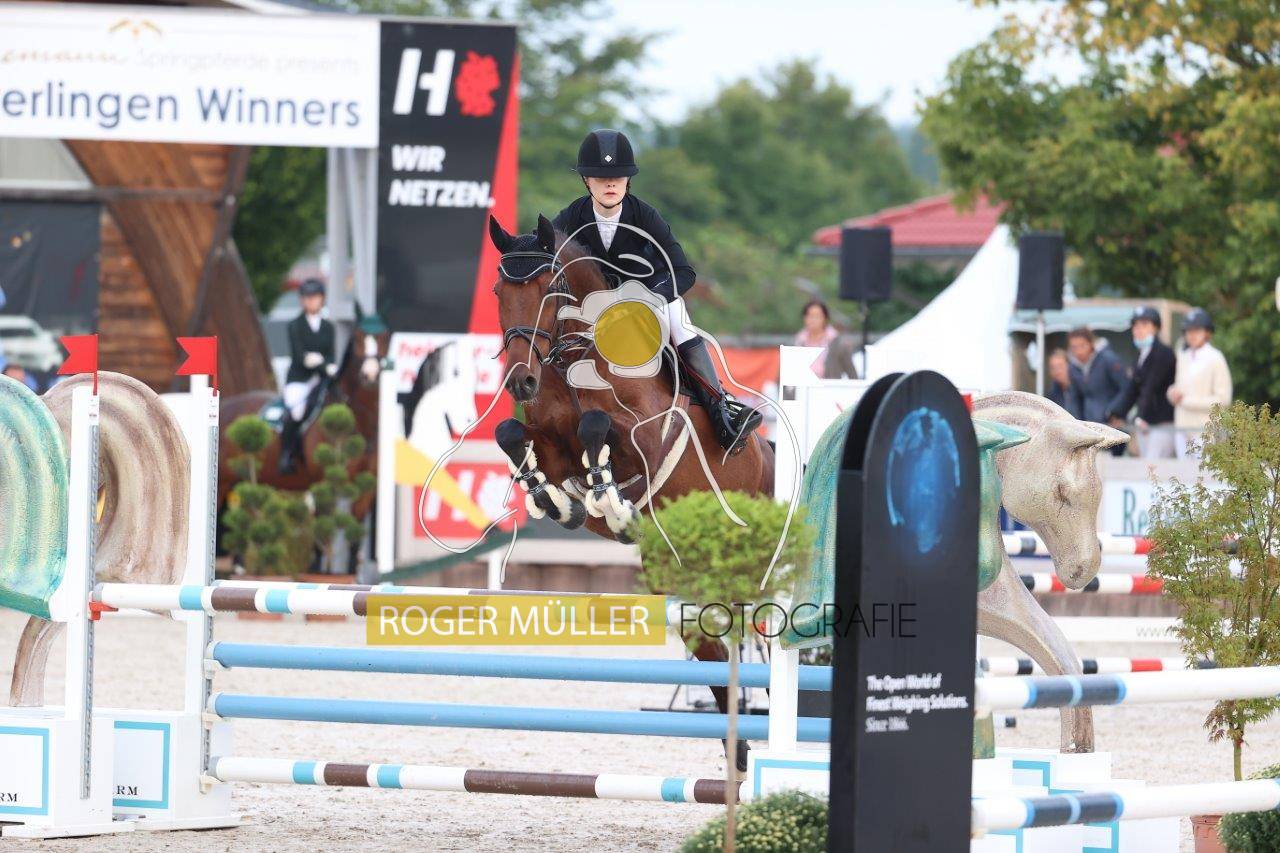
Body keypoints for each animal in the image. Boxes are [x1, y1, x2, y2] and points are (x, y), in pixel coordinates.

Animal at [485, 214, 775, 767]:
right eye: (497, 292)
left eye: (549, 289)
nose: (521, 381)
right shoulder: (550, 444)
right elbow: (512, 435)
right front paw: (559, 503)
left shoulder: (646, 439)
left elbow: (597, 427)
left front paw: (613, 506)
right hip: (680, 577)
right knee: (713, 646)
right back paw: (741, 748)